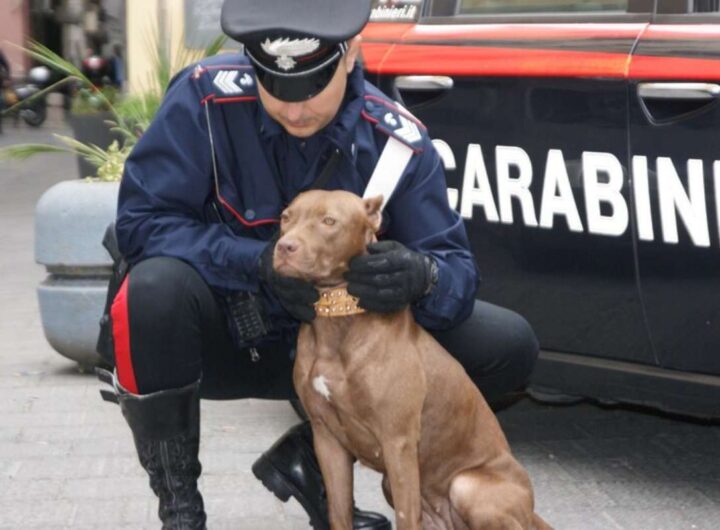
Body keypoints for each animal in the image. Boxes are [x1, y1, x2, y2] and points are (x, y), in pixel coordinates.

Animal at [272, 188, 556, 524]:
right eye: (285, 218)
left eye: (329, 221)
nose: (284, 246)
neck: (338, 318)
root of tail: (531, 510)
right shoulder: (327, 439)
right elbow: (338, 512)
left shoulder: (399, 443)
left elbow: (406, 517)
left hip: (467, 486)